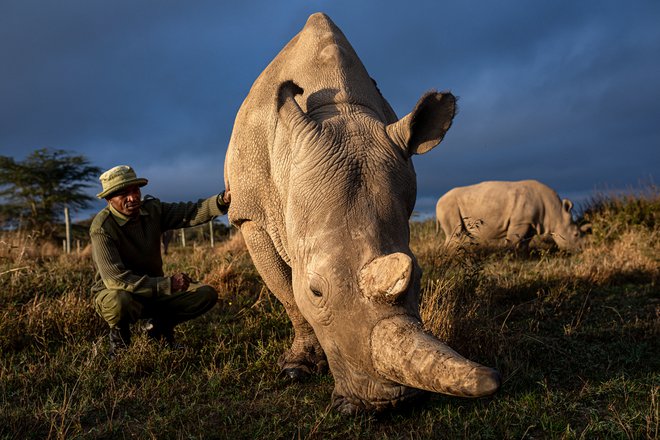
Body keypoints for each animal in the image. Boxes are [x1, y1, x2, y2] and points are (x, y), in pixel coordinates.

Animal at [224, 12, 498, 414]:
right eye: (316, 291)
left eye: (419, 275)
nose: (385, 405)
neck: (338, 110)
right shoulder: (250, 214)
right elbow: (288, 295)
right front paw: (296, 368)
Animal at [436, 178, 592, 248]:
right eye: (576, 234)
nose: (582, 249)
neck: (555, 212)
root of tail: (438, 201)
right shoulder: (520, 222)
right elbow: (512, 241)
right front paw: (508, 255)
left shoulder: (531, 222)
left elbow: (524, 242)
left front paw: (522, 256)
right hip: (448, 206)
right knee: (455, 233)